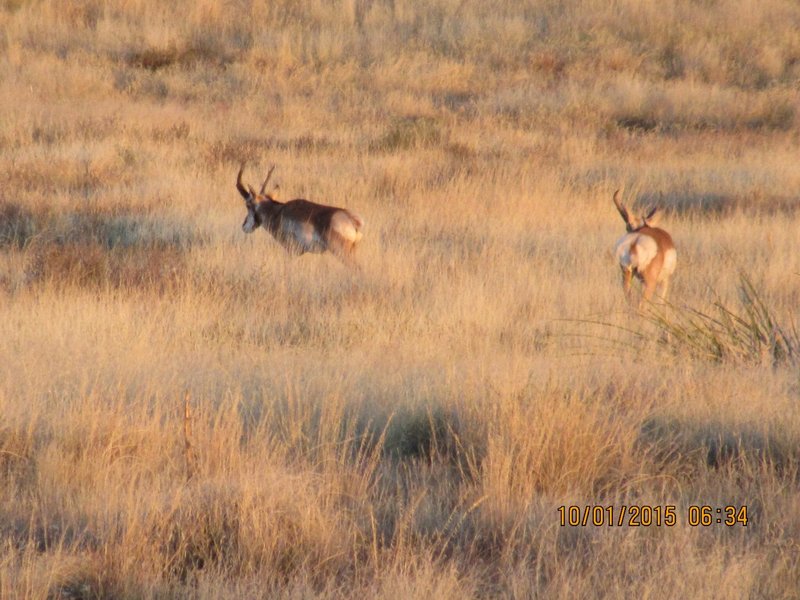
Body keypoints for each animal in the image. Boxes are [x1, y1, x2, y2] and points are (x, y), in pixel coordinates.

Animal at [234, 163, 366, 264]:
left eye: (248, 205)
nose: (244, 226)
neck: (278, 211)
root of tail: (351, 220)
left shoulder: (291, 251)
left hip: (341, 253)